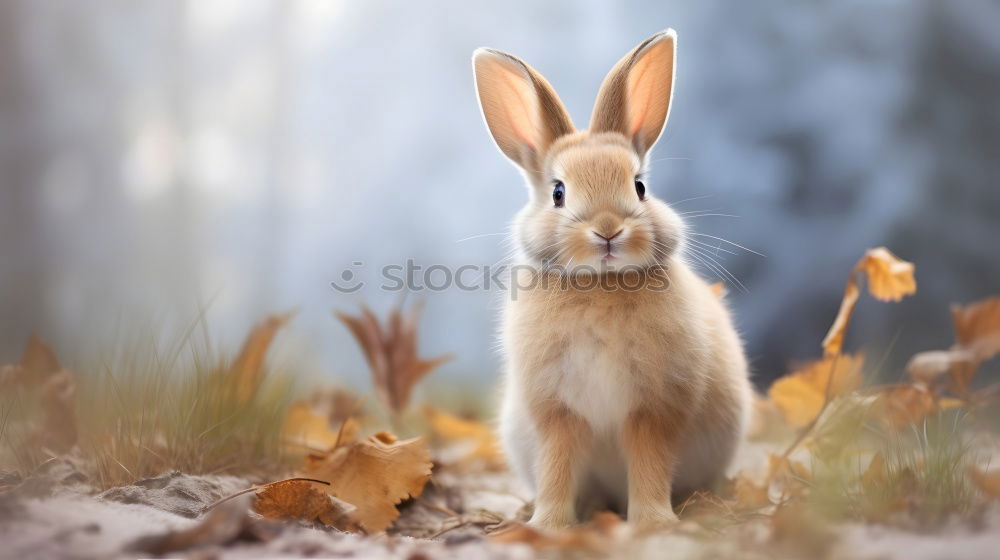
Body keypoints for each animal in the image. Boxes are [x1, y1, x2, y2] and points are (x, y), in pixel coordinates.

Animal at [472, 29, 752, 528]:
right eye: (558, 193)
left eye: (639, 187)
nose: (607, 229)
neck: (600, 285)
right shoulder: (557, 412)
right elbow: (557, 465)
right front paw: (548, 525)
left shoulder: (653, 408)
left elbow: (649, 461)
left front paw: (653, 522)